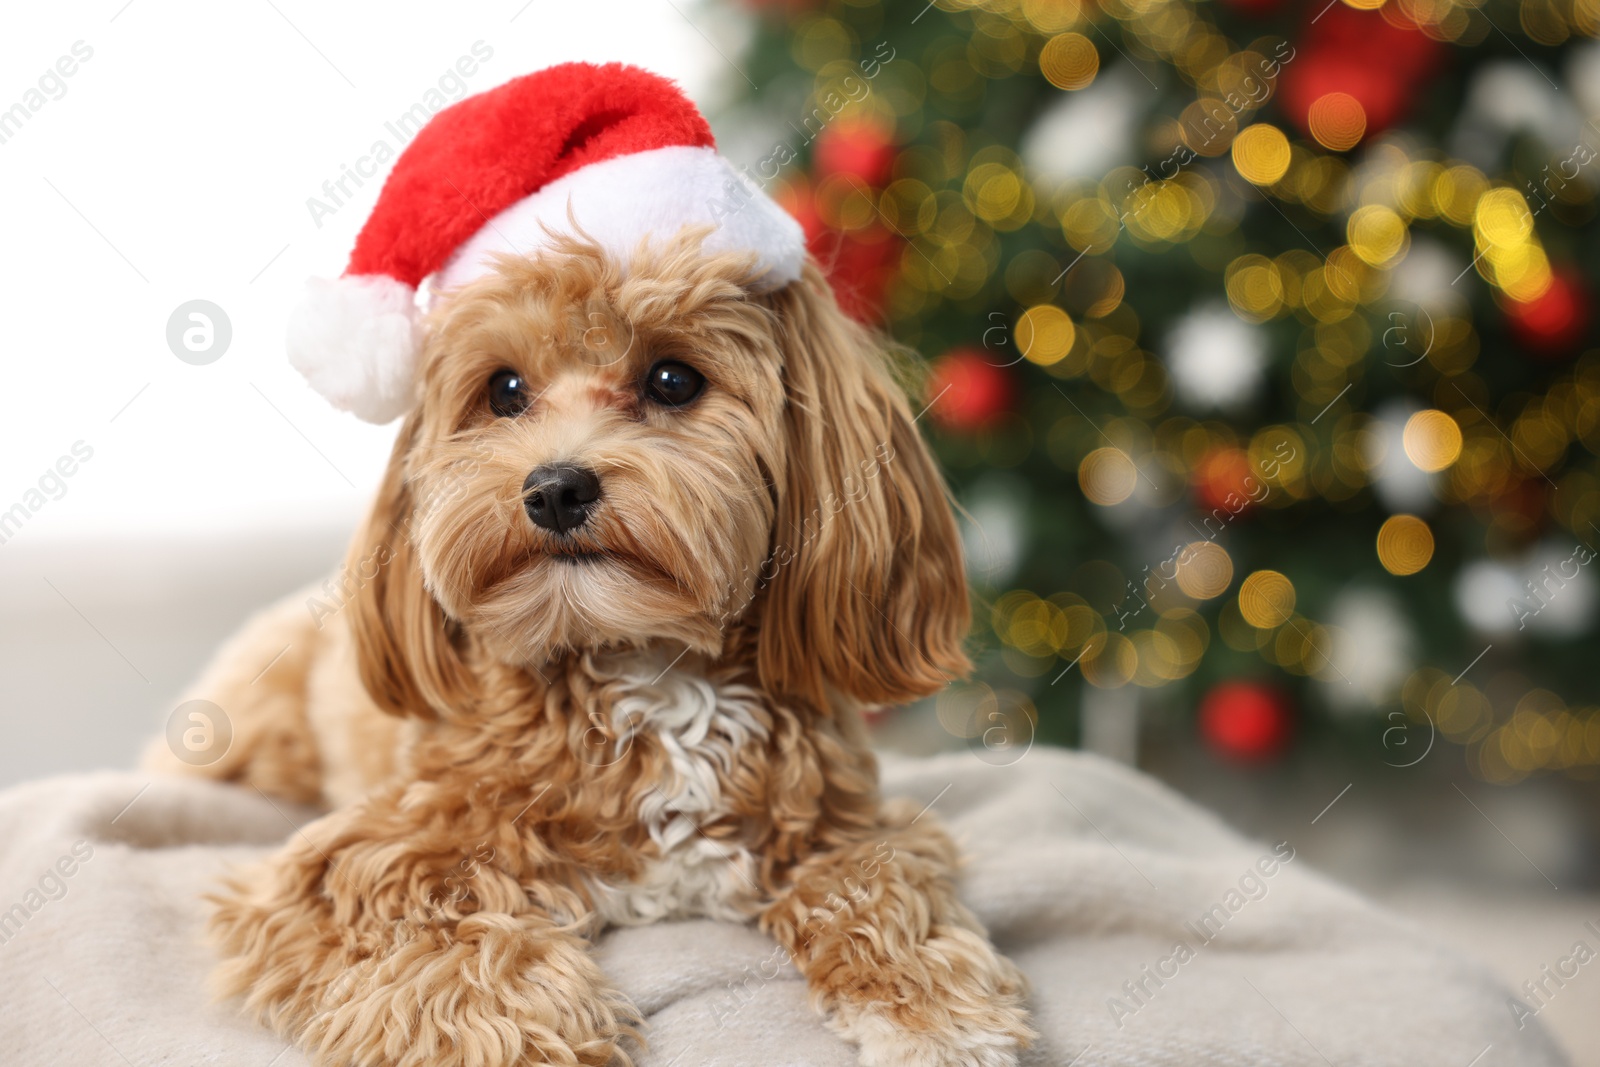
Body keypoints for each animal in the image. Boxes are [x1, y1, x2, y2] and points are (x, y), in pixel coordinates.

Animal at [144, 60, 1030, 1067]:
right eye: (504, 391)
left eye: (673, 379)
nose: (556, 488)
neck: (644, 664)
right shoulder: (353, 863)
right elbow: (441, 938)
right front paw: (527, 1037)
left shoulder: (849, 825)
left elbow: (882, 882)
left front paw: (934, 1010)